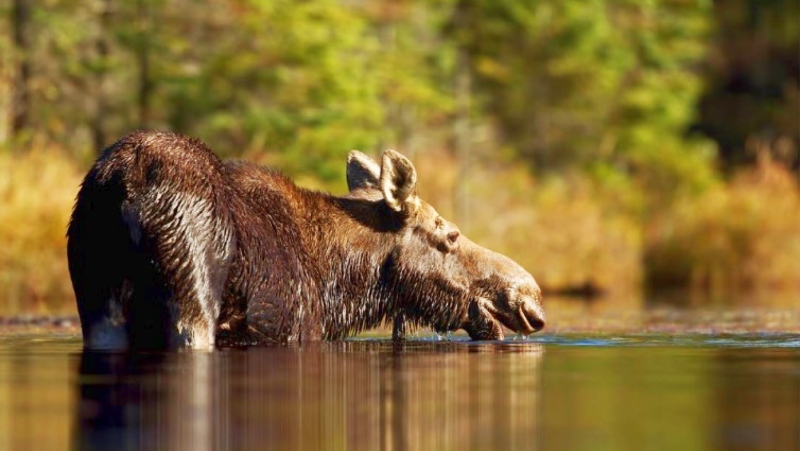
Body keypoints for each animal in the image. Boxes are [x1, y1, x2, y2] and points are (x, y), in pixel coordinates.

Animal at [69, 131, 544, 350]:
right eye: (451, 235)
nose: (529, 297)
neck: (343, 287)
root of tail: (125, 181)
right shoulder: (298, 329)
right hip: (192, 292)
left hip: (98, 301)